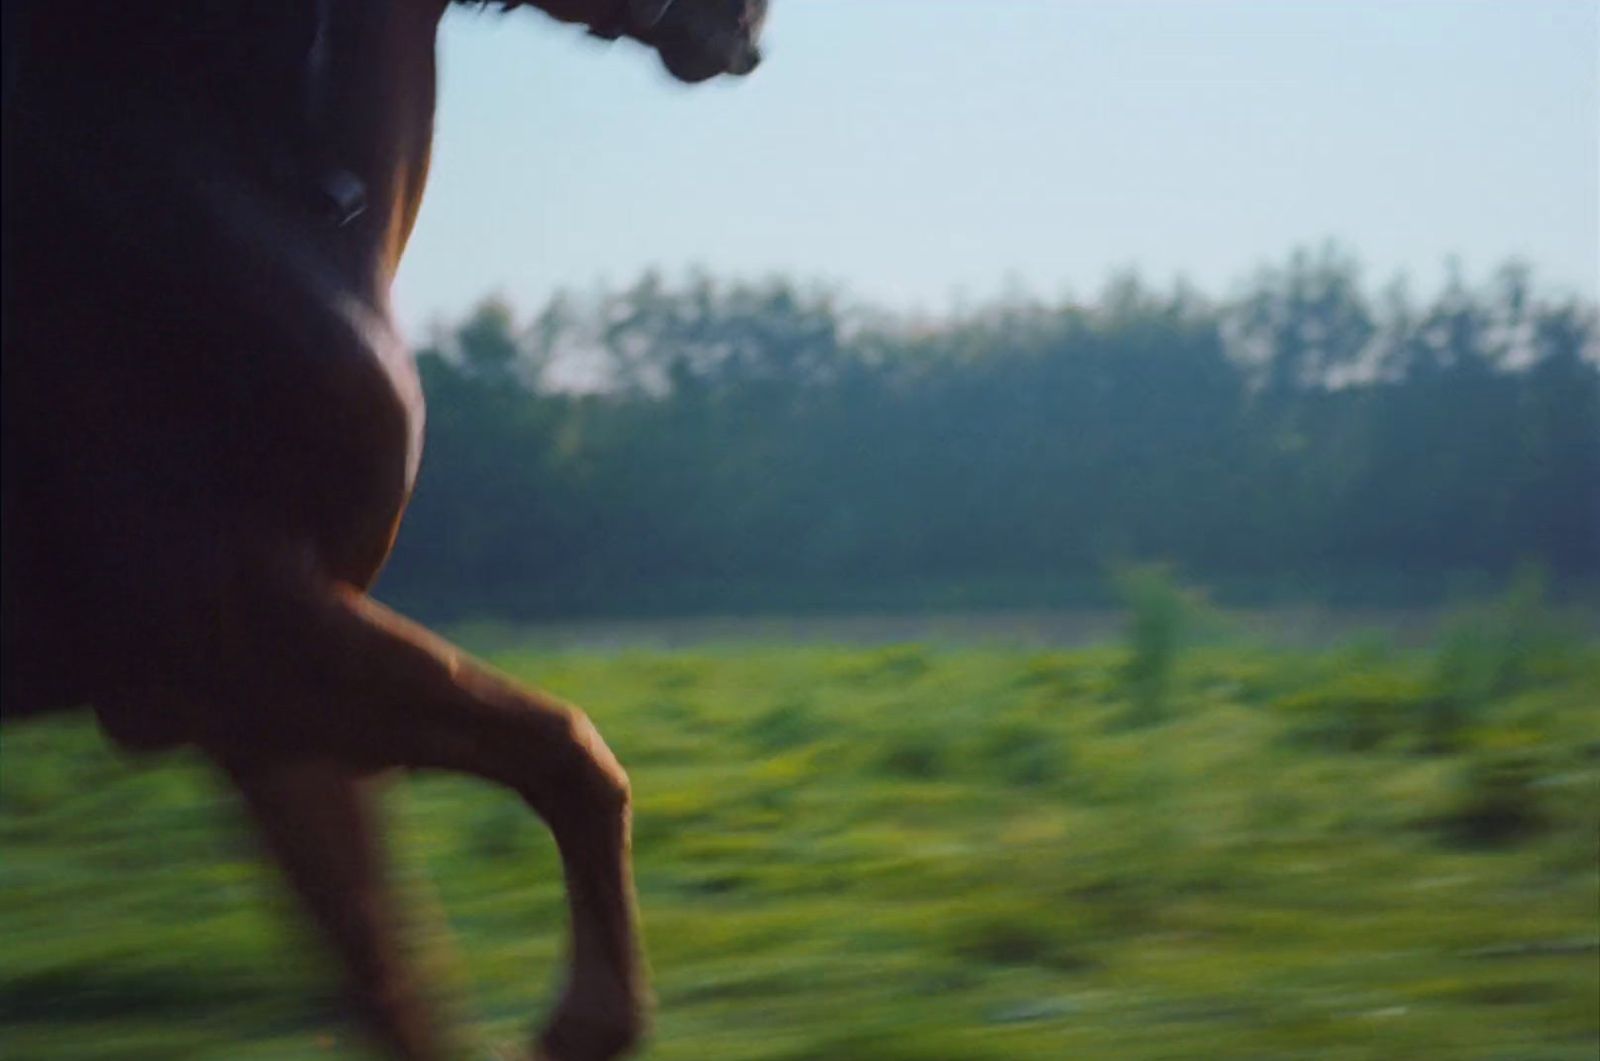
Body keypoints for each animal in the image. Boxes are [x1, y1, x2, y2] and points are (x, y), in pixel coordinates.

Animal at [1, 4, 768, 1056]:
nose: (752, 29)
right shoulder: (242, 632)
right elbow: (571, 755)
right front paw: (584, 1020)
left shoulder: (257, 707)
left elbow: (391, 975)